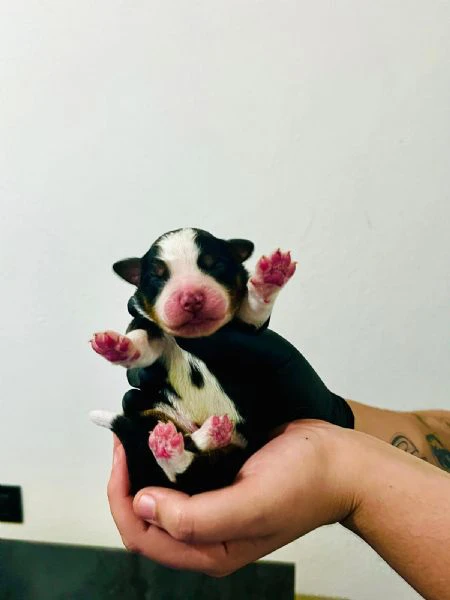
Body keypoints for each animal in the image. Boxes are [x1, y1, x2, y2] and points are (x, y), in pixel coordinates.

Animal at [89, 227, 298, 494]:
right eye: (158, 277)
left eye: (215, 265)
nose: (191, 298)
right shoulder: (152, 330)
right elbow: (143, 343)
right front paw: (117, 346)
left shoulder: (247, 329)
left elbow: (252, 309)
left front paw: (270, 277)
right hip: (138, 403)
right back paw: (183, 440)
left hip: (237, 454)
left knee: (197, 472)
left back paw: (201, 437)